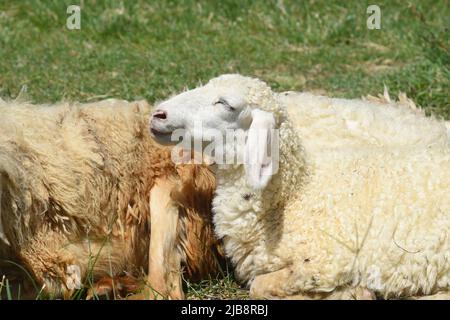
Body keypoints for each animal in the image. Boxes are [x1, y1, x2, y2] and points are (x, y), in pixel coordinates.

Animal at [150, 74, 450, 298]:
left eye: (226, 104)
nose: (158, 114)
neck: (294, 196)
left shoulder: (326, 262)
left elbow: (259, 286)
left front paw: (351, 293)